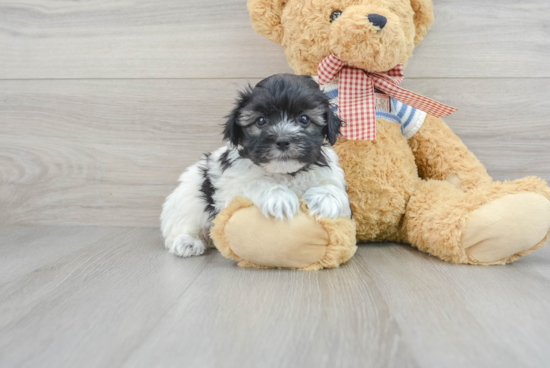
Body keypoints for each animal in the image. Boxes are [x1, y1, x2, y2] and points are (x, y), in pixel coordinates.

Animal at [162, 73, 354, 258]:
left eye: (304, 119)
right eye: (261, 121)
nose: (283, 141)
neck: (285, 173)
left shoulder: (332, 175)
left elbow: (335, 189)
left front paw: (324, 199)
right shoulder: (230, 187)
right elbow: (255, 184)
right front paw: (278, 196)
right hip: (190, 198)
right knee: (182, 223)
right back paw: (186, 242)